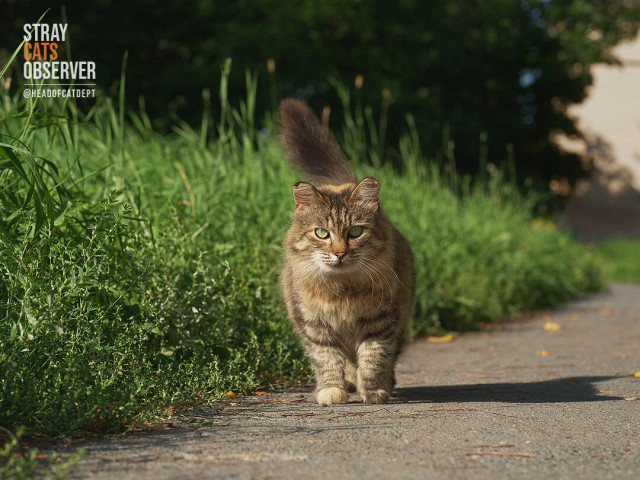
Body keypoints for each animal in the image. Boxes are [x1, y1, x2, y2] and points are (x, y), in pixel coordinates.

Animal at [278, 98, 416, 404]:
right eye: (321, 233)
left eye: (355, 232)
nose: (340, 253)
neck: (342, 292)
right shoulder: (315, 324)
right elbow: (326, 360)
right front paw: (331, 391)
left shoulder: (380, 322)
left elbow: (374, 359)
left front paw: (374, 391)